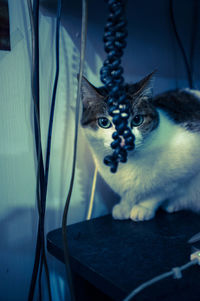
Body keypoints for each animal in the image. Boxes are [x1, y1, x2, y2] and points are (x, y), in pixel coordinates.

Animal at [80, 71, 200, 219]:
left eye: (137, 120)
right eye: (104, 122)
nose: (123, 141)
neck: (128, 164)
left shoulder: (184, 171)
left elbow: (161, 191)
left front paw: (144, 206)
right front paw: (125, 205)